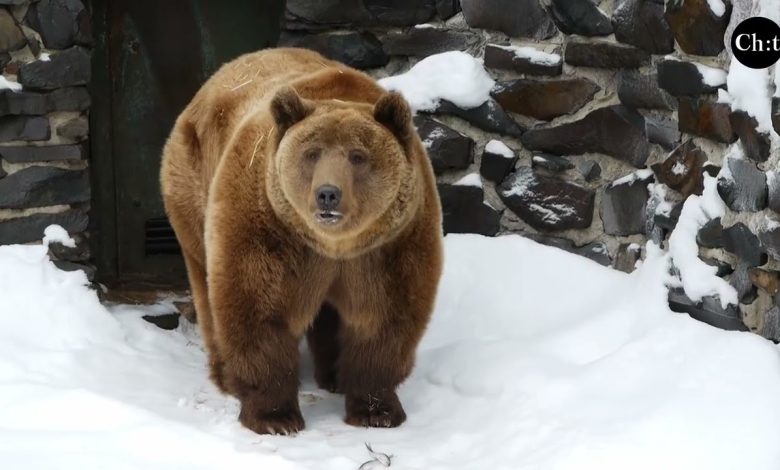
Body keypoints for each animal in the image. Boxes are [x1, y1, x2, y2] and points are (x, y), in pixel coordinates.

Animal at [157, 47, 444, 434]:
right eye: (312, 153)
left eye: (358, 156)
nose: (328, 194)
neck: (335, 244)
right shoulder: (269, 226)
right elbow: (258, 309)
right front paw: (275, 416)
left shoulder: (392, 243)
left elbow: (383, 318)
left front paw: (377, 410)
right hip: (194, 186)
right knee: (207, 282)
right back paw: (225, 375)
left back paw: (332, 375)